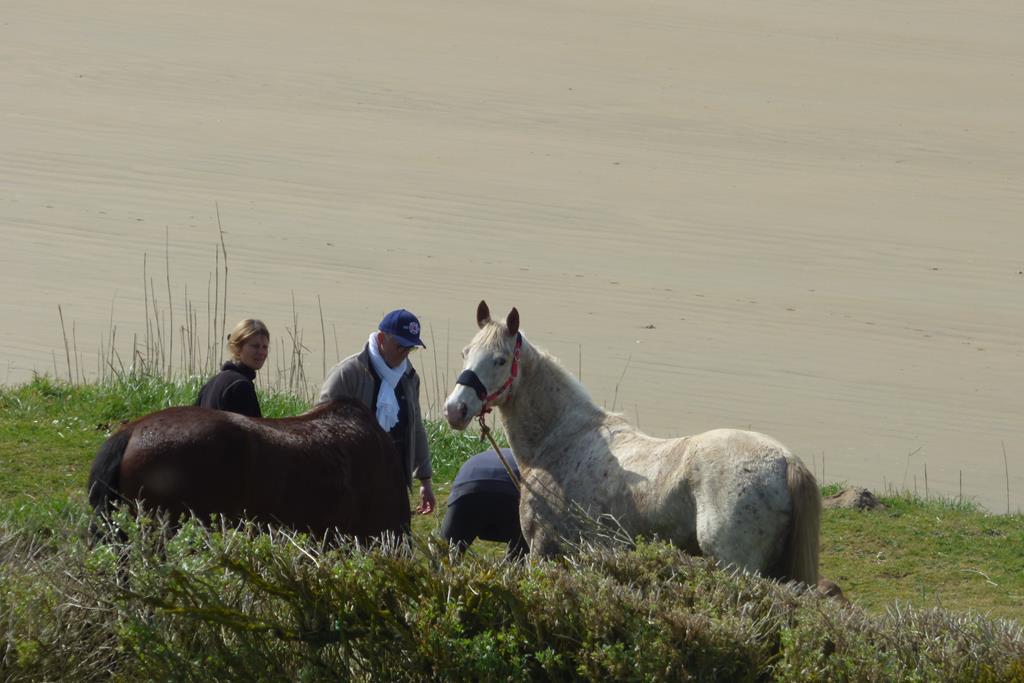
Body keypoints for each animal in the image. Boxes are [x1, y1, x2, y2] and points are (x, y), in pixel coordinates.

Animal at [443, 301, 821, 585]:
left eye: (500, 359)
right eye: (465, 352)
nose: (454, 409)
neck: (561, 440)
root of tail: (785, 460)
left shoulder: (543, 548)